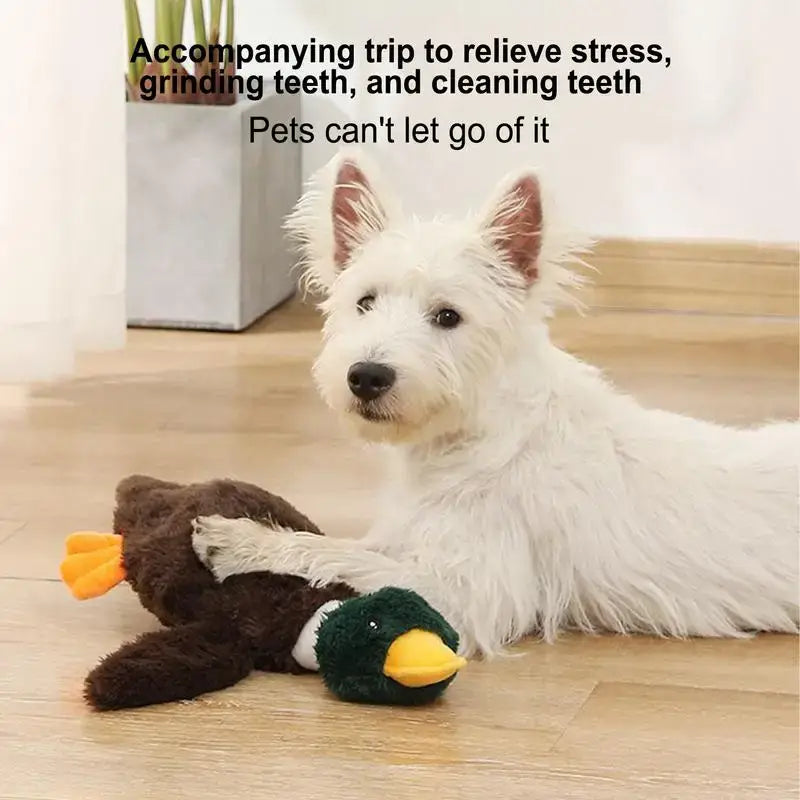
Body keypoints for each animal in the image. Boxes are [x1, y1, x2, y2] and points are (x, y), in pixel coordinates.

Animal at [194, 150, 800, 656]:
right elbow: (357, 543)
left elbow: (344, 555)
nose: (366, 376)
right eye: (364, 302)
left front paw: (241, 542)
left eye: (448, 316)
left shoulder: (468, 593)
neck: (476, 436)